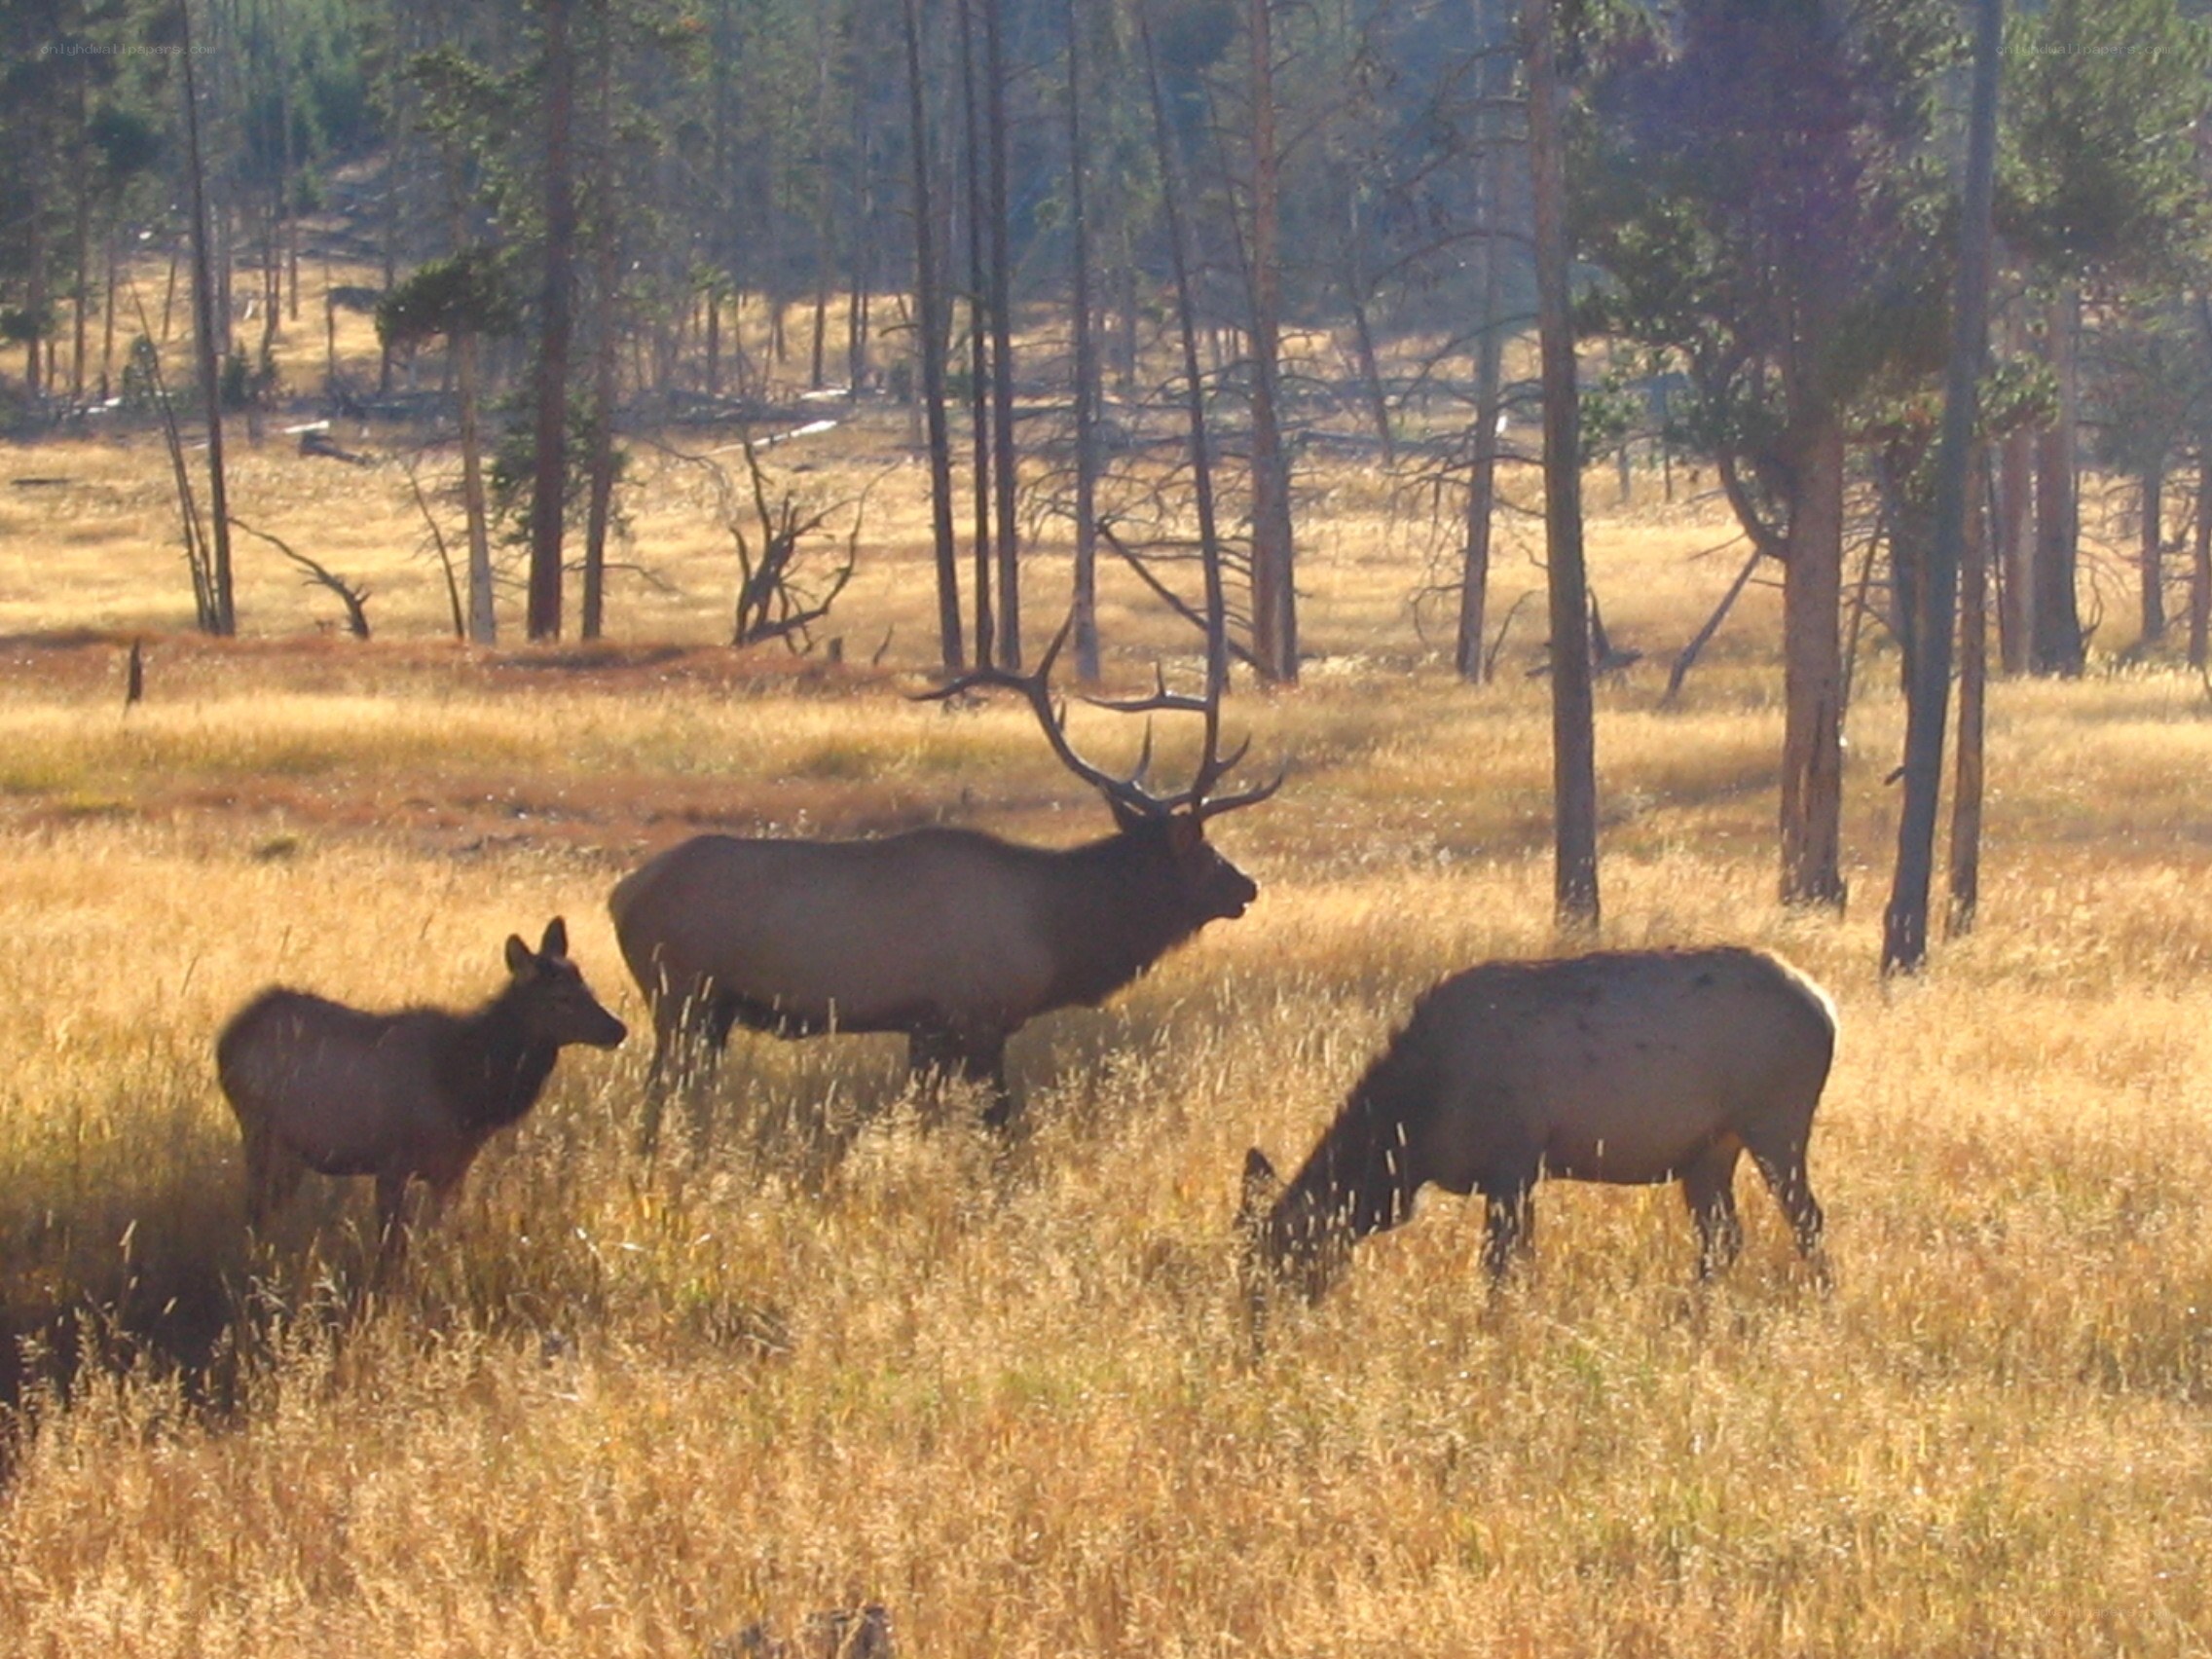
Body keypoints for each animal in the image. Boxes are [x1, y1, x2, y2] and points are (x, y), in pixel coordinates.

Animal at [215, 918, 627, 1266]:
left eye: (587, 986)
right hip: (260, 1129)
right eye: (562, 999)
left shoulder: (452, 1170)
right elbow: (391, 1251)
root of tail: (228, 1038)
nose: (618, 1029)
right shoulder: (392, 1163)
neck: (469, 1093)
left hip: (290, 1150)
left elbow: (439, 1240)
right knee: (255, 1208)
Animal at [609, 621, 1280, 1146]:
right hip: (680, 994)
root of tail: (621, 894)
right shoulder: (976, 1017)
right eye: (1204, 853)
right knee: (658, 1090)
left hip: (708, 1010)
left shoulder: (925, 1029)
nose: (1246, 887)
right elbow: (999, 1122)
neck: (1057, 930)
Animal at [1239, 946, 1835, 1313]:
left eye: (1277, 1259)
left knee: (1807, 1218)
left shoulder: (1514, 1160)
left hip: (1774, 1120)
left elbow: (1499, 1265)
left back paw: (1825, 1302)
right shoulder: (1519, 1173)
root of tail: (1827, 1009)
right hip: (1710, 1148)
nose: (1255, 1330)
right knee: (1723, 1235)